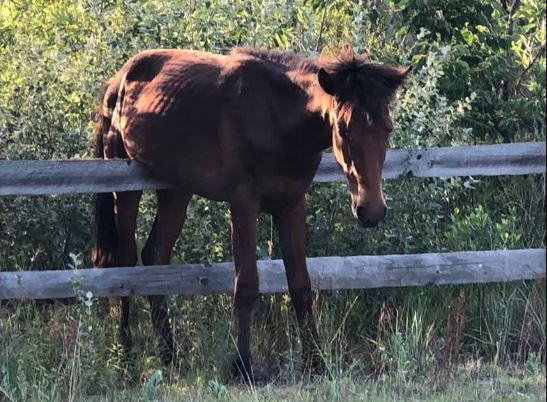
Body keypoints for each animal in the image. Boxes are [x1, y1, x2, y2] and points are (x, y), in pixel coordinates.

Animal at [91, 46, 410, 382]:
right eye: (343, 129)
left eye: (387, 128)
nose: (370, 210)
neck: (277, 118)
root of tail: (118, 82)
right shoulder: (243, 203)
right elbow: (247, 284)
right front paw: (242, 365)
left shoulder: (292, 206)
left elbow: (301, 285)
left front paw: (315, 363)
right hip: (125, 189)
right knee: (126, 264)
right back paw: (126, 354)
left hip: (176, 192)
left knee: (155, 255)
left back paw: (169, 354)